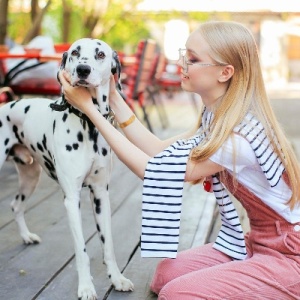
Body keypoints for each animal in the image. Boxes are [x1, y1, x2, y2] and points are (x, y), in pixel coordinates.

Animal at [0, 38, 134, 298]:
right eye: (75, 52)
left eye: (100, 54)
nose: (83, 70)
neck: (89, 125)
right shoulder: (72, 199)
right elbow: (81, 251)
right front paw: (86, 287)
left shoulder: (100, 195)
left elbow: (108, 245)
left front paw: (117, 279)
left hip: (30, 177)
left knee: (16, 205)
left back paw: (26, 236)